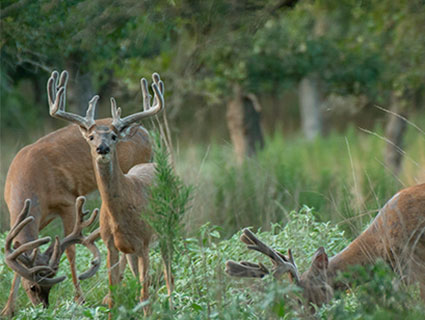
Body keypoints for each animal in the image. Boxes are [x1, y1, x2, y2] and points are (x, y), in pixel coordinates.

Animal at [1, 70, 154, 318]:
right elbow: (20, 250)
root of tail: (145, 132)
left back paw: (114, 290)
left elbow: (71, 250)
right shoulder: (34, 217)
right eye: (32, 287)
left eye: (49, 284)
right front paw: (7, 309)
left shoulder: (67, 202)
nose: (42, 307)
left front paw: (79, 299)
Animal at [50, 70, 167, 316]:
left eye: (114, 136)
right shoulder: (111, 245)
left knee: (167, 273)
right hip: (131, 252)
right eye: (91, 137)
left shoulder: (144, 242)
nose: (101, 148)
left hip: (167, 230)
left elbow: (144, 295)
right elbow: (114, 295)